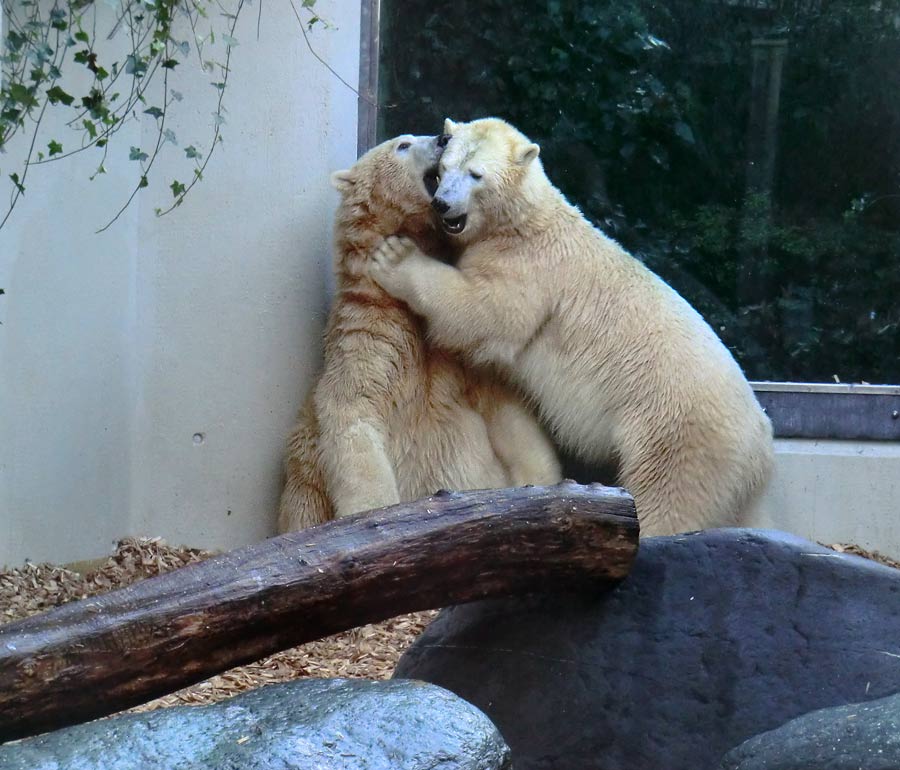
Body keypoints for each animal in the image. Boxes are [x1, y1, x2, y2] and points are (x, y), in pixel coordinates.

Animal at [278, 132, 560, 532]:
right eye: (402, 144)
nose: (443, 137)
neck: (400, 307)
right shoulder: (370, 337)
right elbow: (353, 415)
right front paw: (376, 514)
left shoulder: (458, 352)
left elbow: (506, 409)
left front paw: (541, 484)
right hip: (305, 476)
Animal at [370, 117, 776, 536]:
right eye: (442, 170)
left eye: (475, 174)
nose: (443, 203)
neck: (523, 220)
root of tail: (762, 441)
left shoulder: (529, 266)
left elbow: (487, 311)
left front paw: (395, 258)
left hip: (676, 434)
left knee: (668, 500)